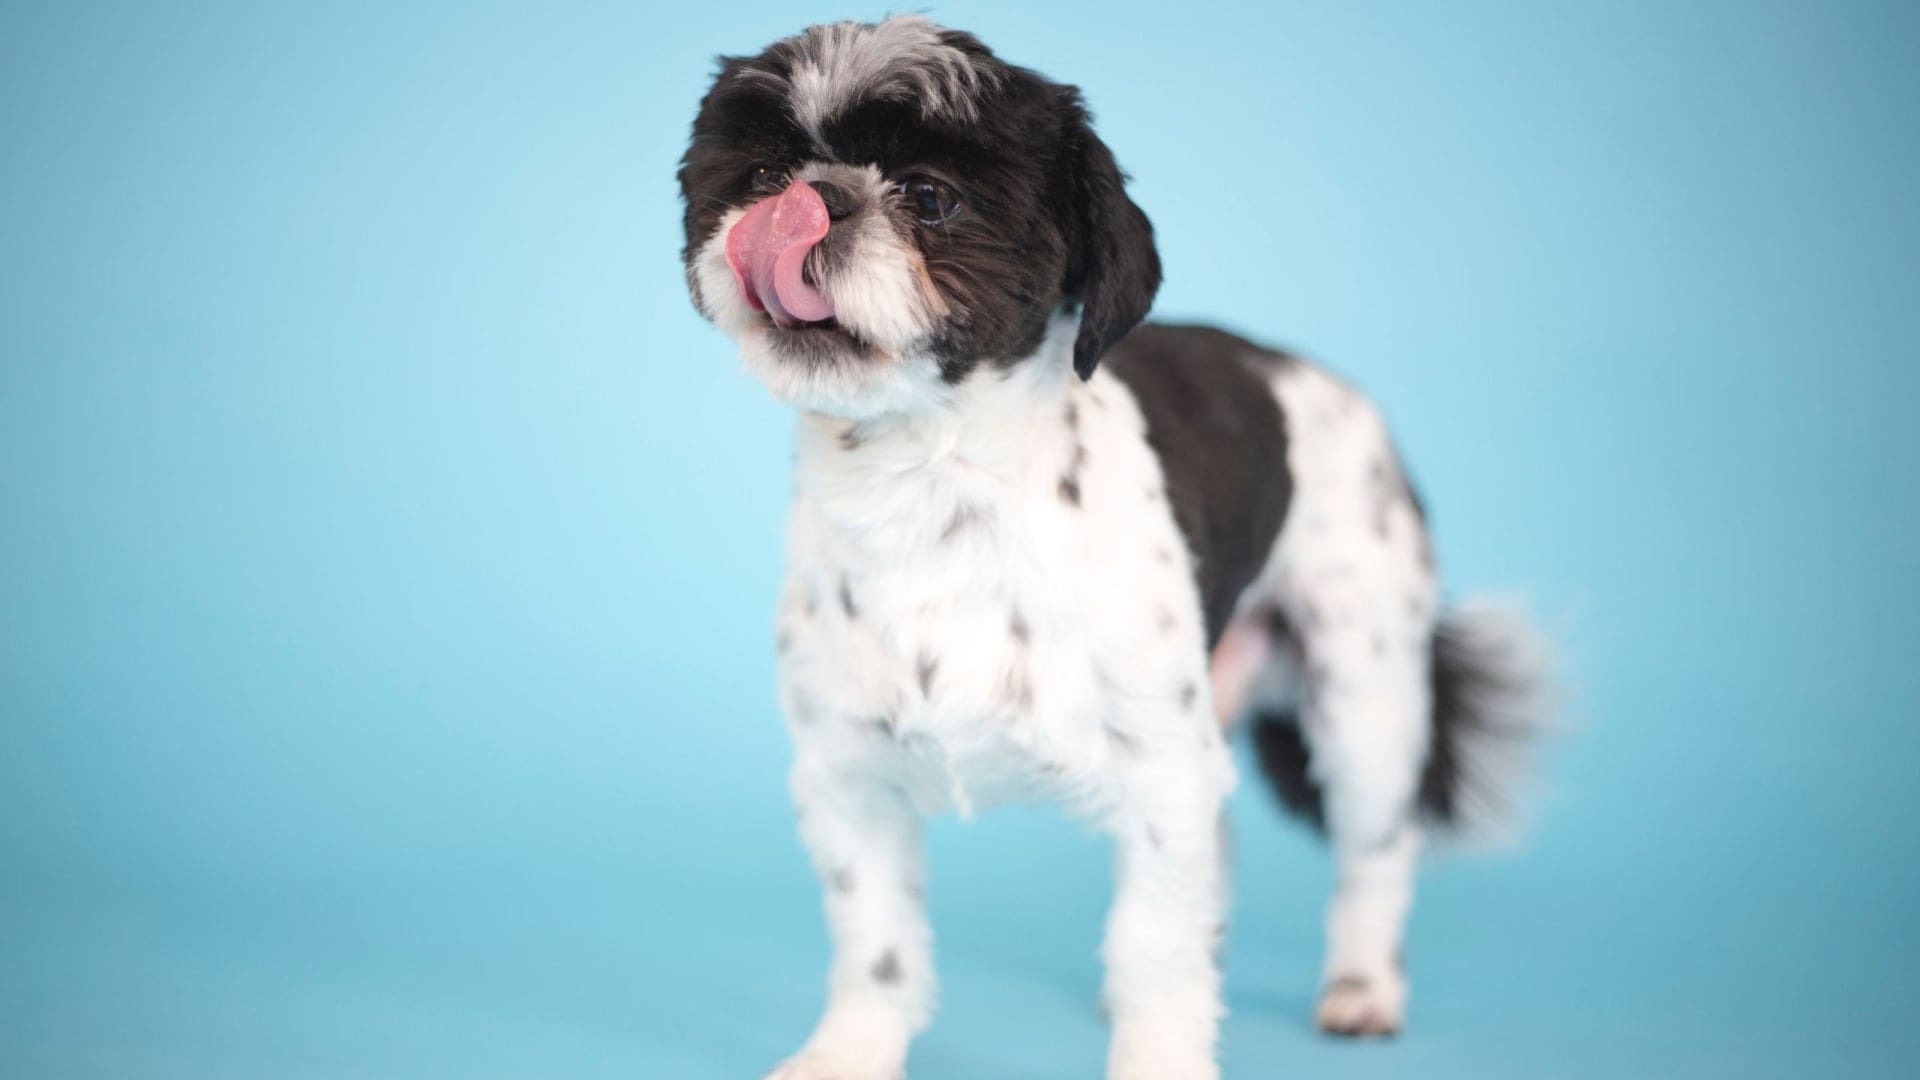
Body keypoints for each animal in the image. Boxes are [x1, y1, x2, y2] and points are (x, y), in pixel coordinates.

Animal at [675, 16, 1543, 1076]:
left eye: (930, 196)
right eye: (760, 174)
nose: (815, 199)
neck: (933, 491)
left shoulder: (1162, 771)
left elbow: (1153, 945)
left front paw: (1163, 1050)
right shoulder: (847, 775)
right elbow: (876, 946)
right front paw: (847, 1055)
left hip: (1364, 695)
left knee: (1375, 852)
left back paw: (1363, 986)